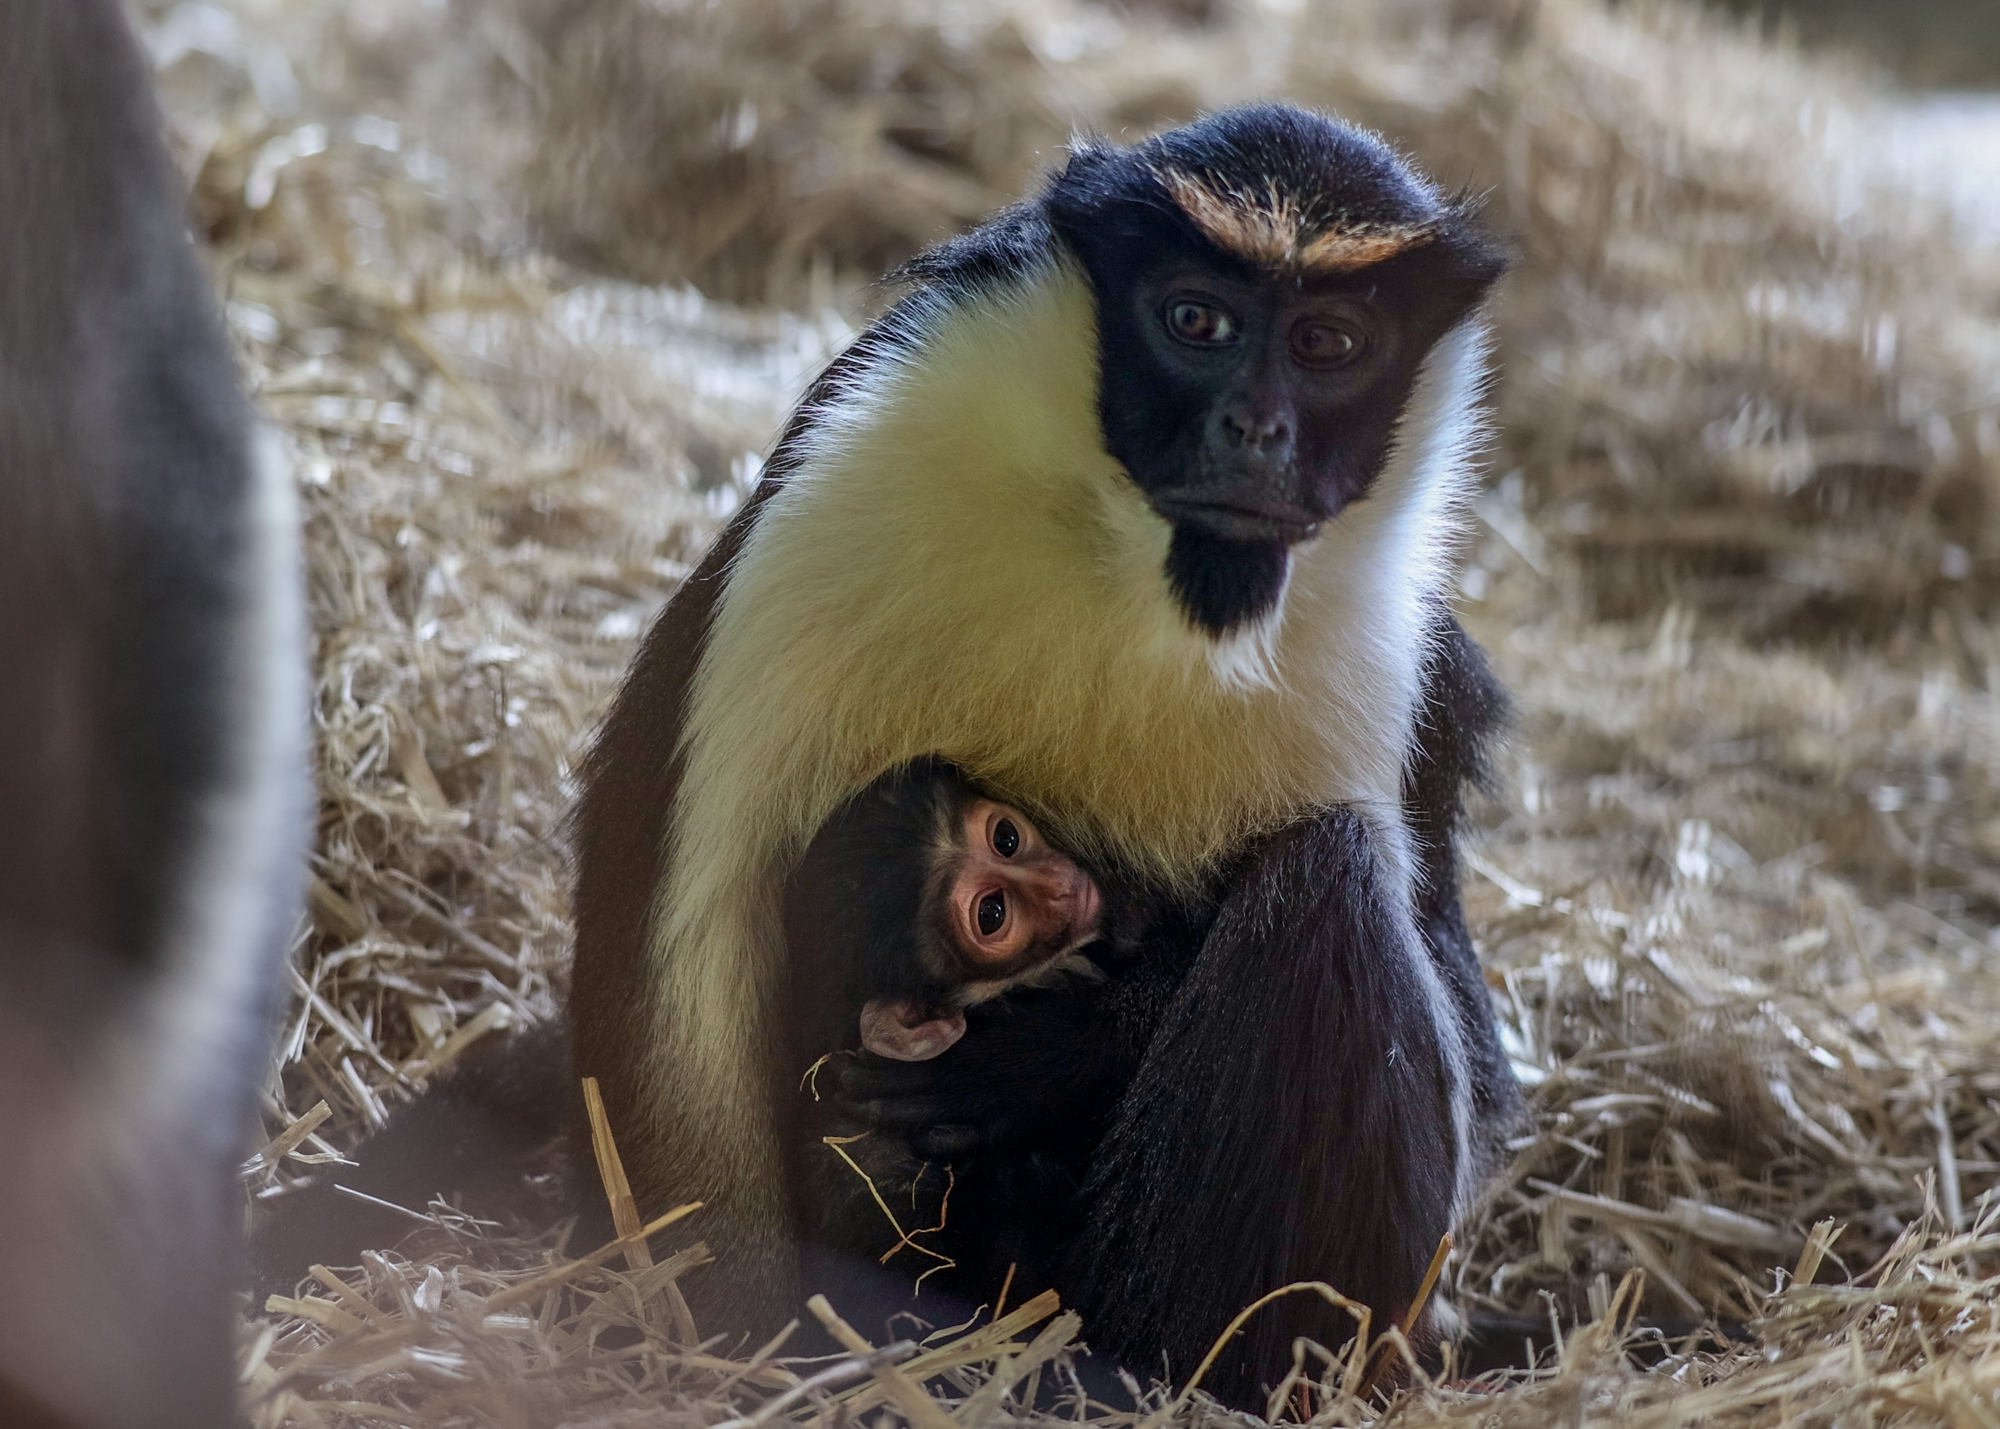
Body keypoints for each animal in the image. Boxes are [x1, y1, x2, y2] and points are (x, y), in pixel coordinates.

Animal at [562, 101, 1524, 1409]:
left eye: (1328, 342)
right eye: (1194, 319)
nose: (1256, 430)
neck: (1135, 571)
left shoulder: (1403, 674)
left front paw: (1061, 1049)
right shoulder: (832, 495)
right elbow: (675, 995)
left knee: (1326, 881)